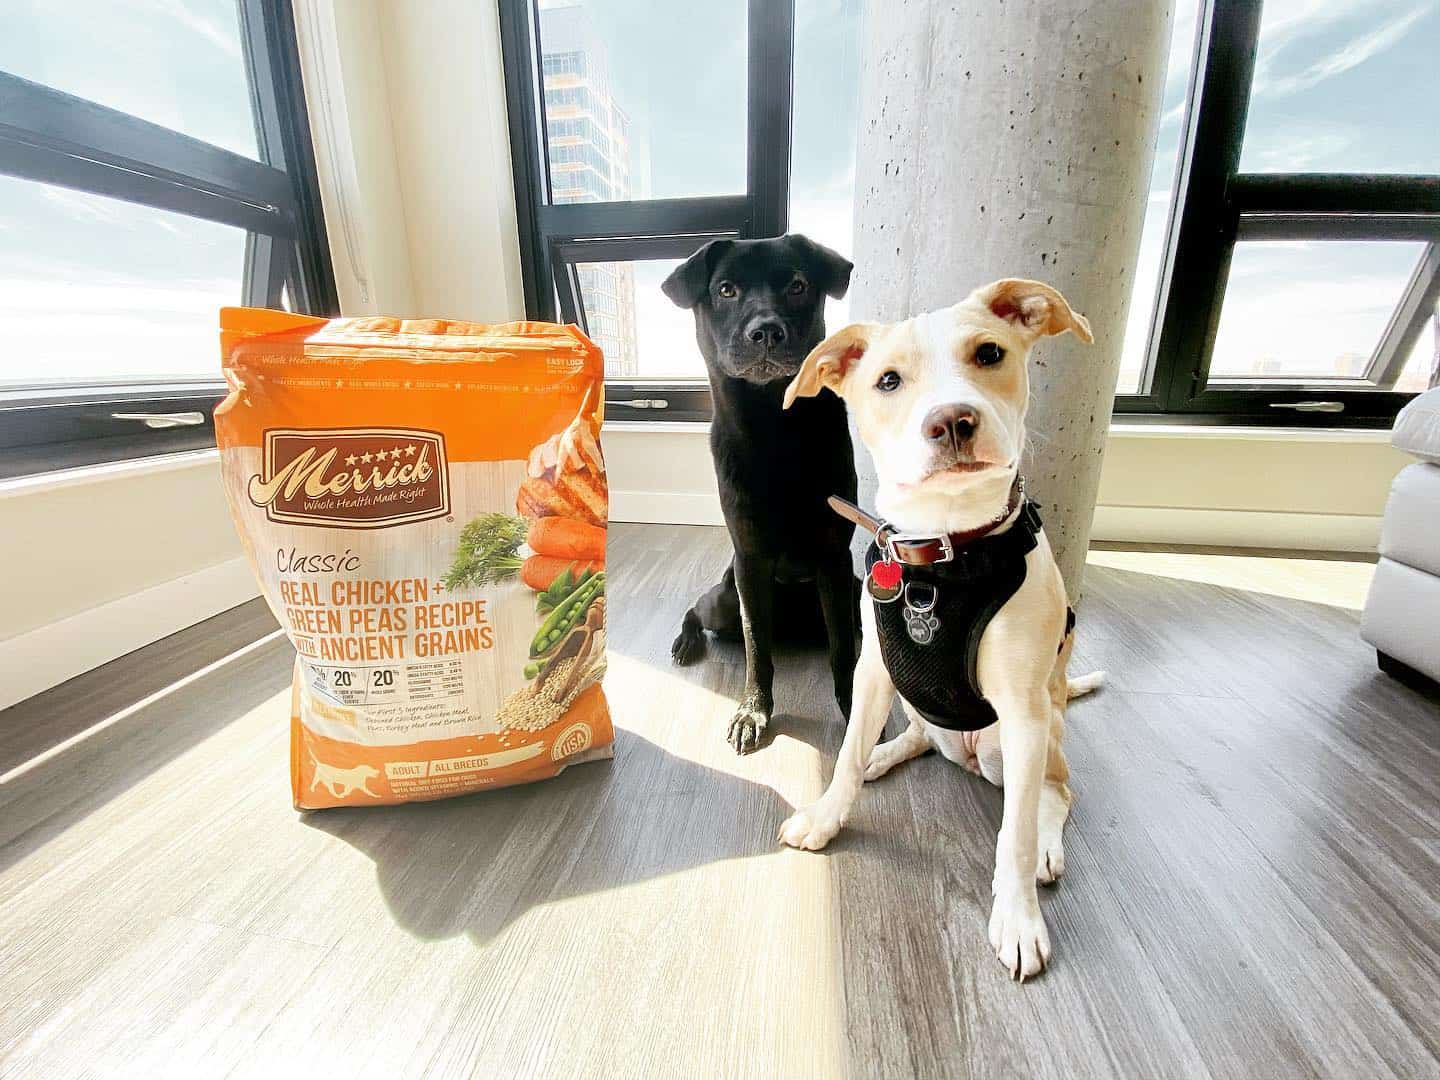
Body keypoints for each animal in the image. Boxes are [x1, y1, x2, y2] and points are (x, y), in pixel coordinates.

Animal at [659, 236, 852, 754]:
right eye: (725, 289)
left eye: (797, 285)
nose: (766, 332)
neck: (774, 425)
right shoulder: (750, 560)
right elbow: (755, 648)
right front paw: (753, 711)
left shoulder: (835, 560)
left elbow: (843, 650)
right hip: (725, 600)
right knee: (699, 609)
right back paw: (686, 641)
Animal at [783, 279, 1094, 979]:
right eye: (888, 380)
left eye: (989, 353)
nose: (951, 420)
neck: (945, 552)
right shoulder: (873, 673)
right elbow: (846, 753)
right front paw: (827, 815)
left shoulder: (1023, 712)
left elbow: (1014, 832)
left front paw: (1018, 920)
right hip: (914, 699)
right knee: (921, 735)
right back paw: (888, 753)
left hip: (1024, 741)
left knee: (1055, 793)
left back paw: (1046, 850)